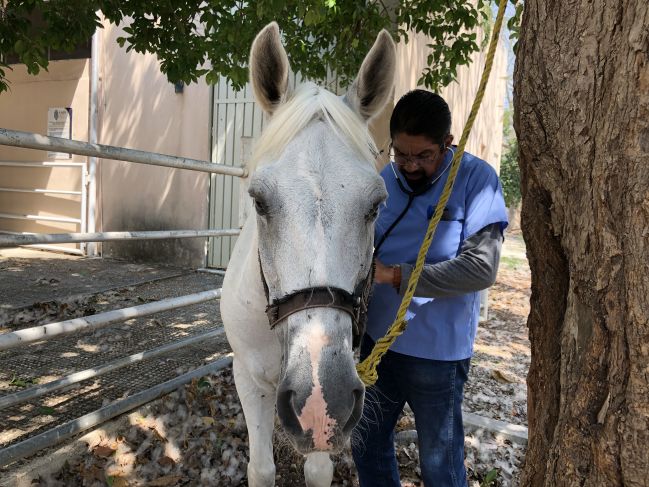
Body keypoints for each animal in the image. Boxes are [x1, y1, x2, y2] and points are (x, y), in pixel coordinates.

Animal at [220, 22, 396, 487]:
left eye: (376, 205)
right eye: (259, 201)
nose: (321, 402)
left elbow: (319, 469)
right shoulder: (248, 378)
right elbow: (261, 467)